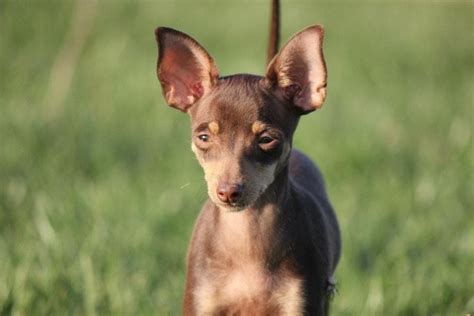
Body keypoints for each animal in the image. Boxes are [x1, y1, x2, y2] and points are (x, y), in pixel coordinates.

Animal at [156, 0, 340, 314]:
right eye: (203, 138)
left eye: (266, 140)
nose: (228, 192)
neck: (246, 235)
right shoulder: (200, 302)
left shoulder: (304, 302)